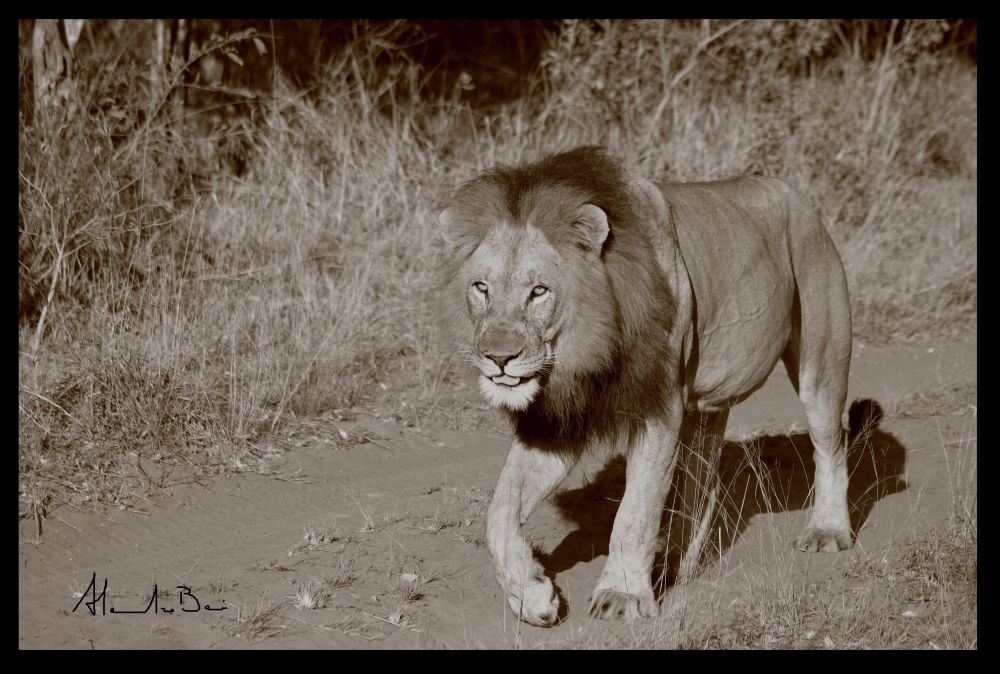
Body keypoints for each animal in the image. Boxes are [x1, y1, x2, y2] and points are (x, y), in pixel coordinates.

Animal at [438, 147, 853, 626]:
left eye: (539, 291)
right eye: (481, 288)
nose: (498, 358)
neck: (589, 350)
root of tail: (801, 199)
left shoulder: (660, 408)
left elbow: (636, 510)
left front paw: (622, 595)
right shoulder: (557, 423)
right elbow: (499, 510)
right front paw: (533, 596)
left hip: (821, 358)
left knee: (831, 445)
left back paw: (828, 530)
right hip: (707, 404)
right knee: (704, 480)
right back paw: (676, 563)